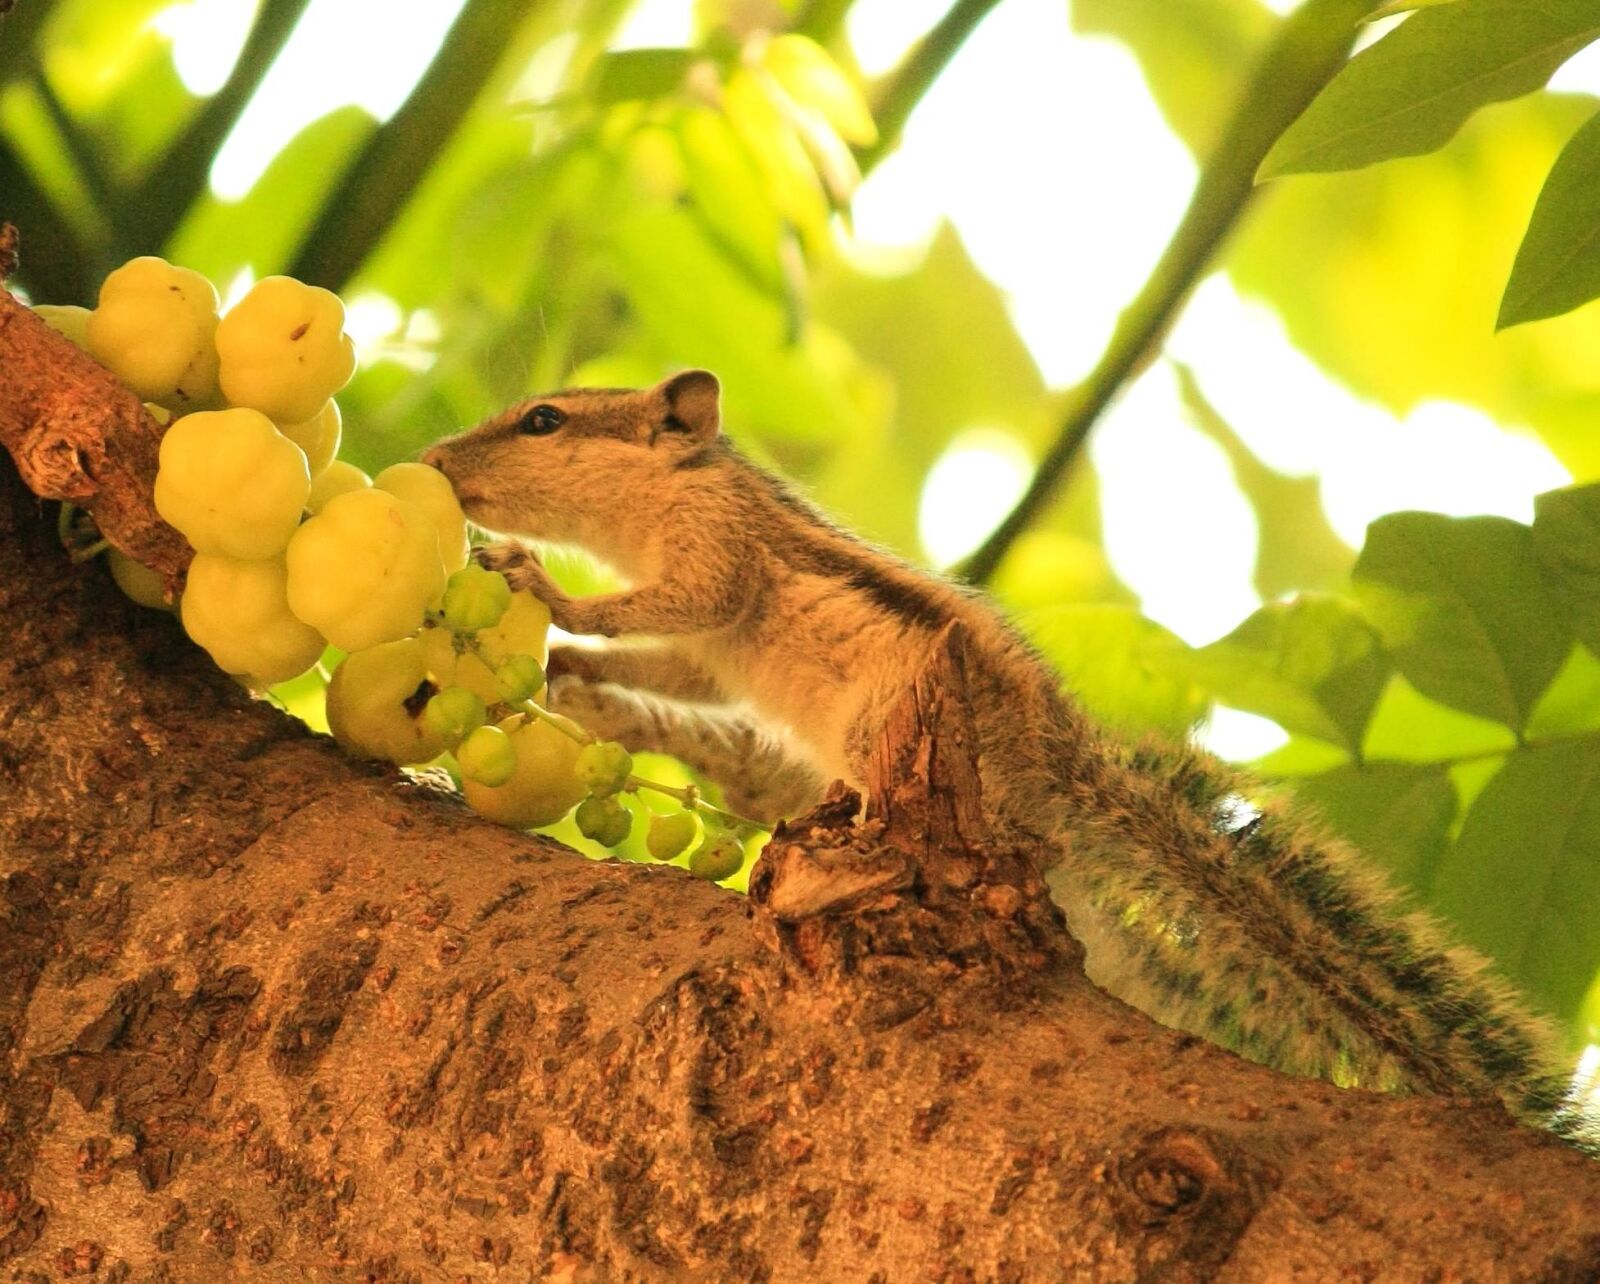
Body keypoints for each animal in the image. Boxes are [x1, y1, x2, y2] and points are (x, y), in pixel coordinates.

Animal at [423, 369, 1582, 1137]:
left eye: (544, 419)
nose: (434, 463)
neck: (664, 500)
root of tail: (1066, 773)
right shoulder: (712, 660)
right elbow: (675, 664)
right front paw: (570, 663)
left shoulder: (720, 556)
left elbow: (677, 603)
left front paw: (545, 591)